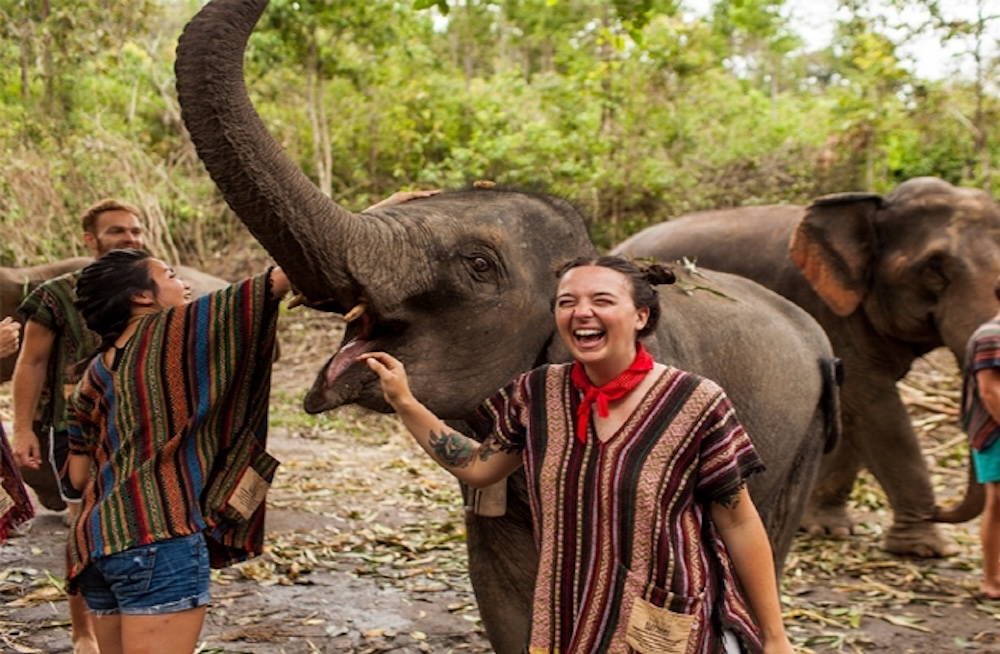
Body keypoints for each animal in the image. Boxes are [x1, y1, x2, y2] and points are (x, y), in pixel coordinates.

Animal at [612, 179, 1000, 560]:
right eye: (934, 269)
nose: (938, 510)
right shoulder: (828, 307)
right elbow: (875, 408)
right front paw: (928, 548)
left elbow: (863, 411)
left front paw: (841, 530)